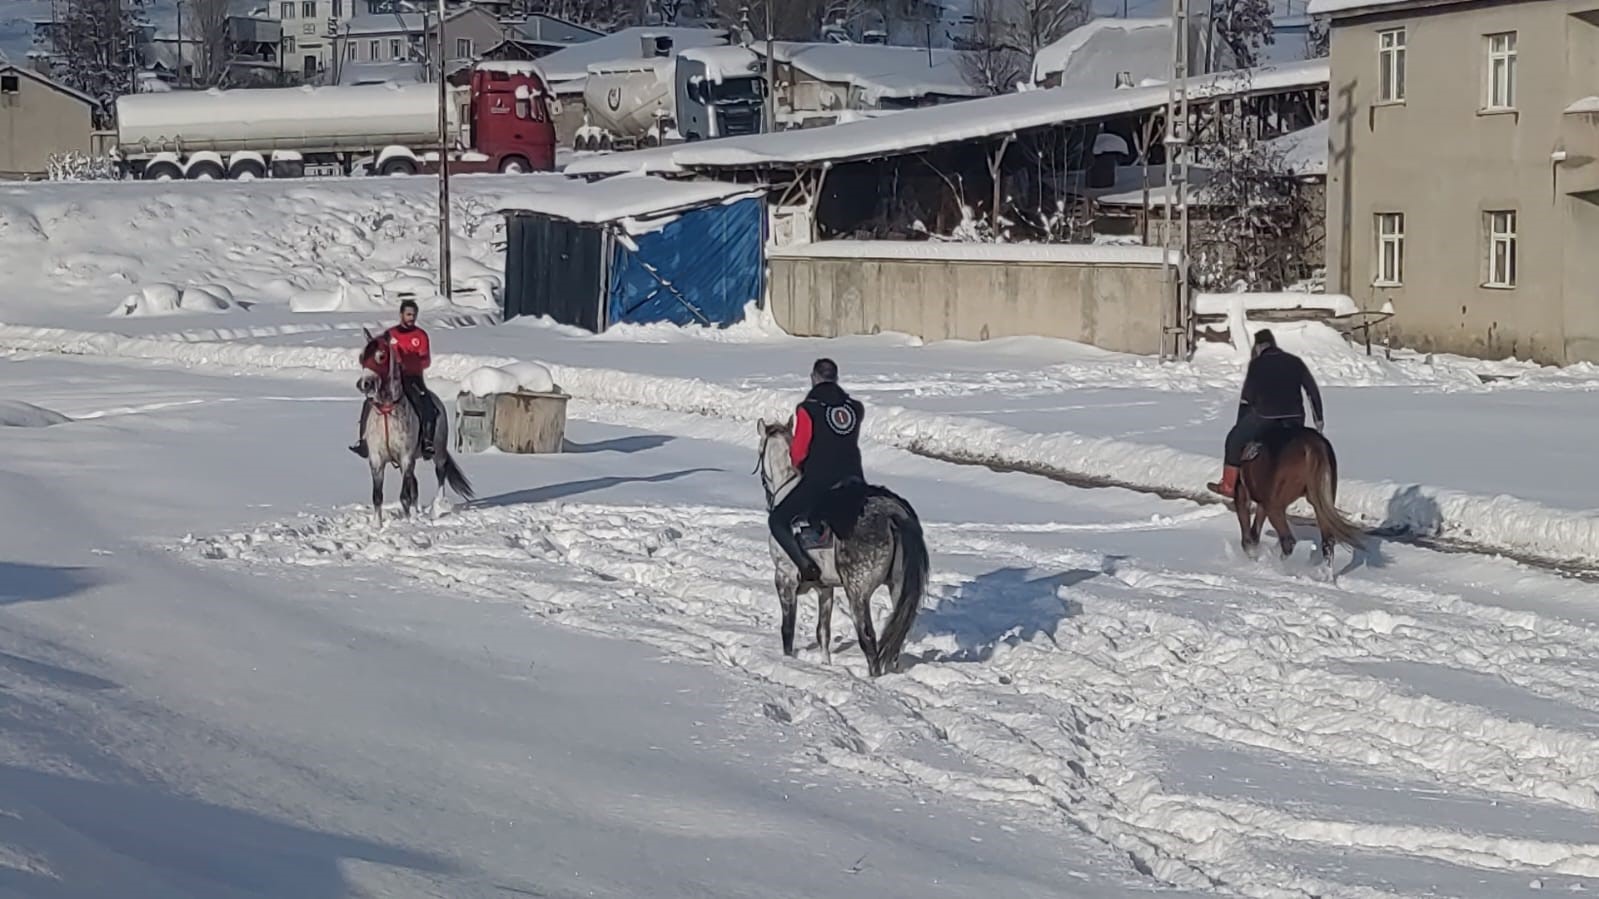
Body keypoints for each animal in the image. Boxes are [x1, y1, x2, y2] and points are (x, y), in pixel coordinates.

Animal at [754, 415, 933, 675]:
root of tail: (893, 515)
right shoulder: (825, 588)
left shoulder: (784, 578)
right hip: (898, 587)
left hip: (857, 592)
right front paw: (825, 664)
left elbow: (788, 630)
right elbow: (823, 632)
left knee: (868, 639)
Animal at [1234, 425, 1362, 559]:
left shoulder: (1243, 494)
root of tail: (1313, 445)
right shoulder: (1261, 502)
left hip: (1274, 507)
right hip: (1320, 503)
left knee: (1288, 541)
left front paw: (1251, 553)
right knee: (1327, 543)